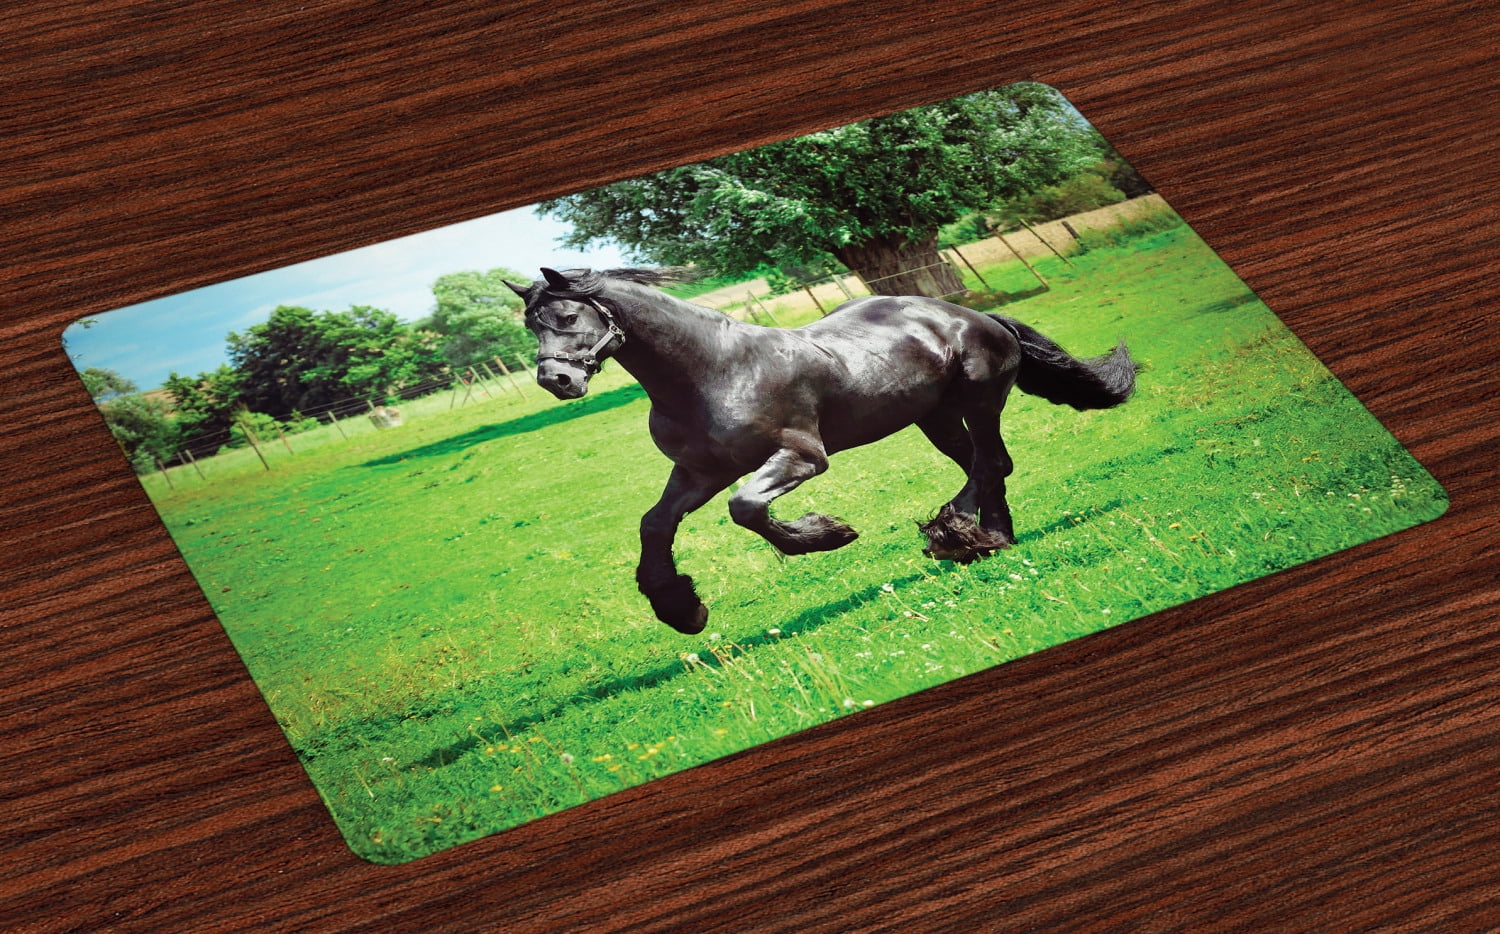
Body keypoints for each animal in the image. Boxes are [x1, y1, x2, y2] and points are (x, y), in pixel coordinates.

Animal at [506, 267, 1137, 635]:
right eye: (530, 326)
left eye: (566, 316)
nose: (556, 381)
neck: (712, 369)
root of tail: (973, 314)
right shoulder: (699, 471)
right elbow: (654, 524)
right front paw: (680, 609)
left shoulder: (803, 457)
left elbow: (746, 508)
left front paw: (828, 534)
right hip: (932, 416)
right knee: (988, 466)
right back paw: (986, 538)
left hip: (980, 401)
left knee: (990, 462)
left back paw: (957, 535)